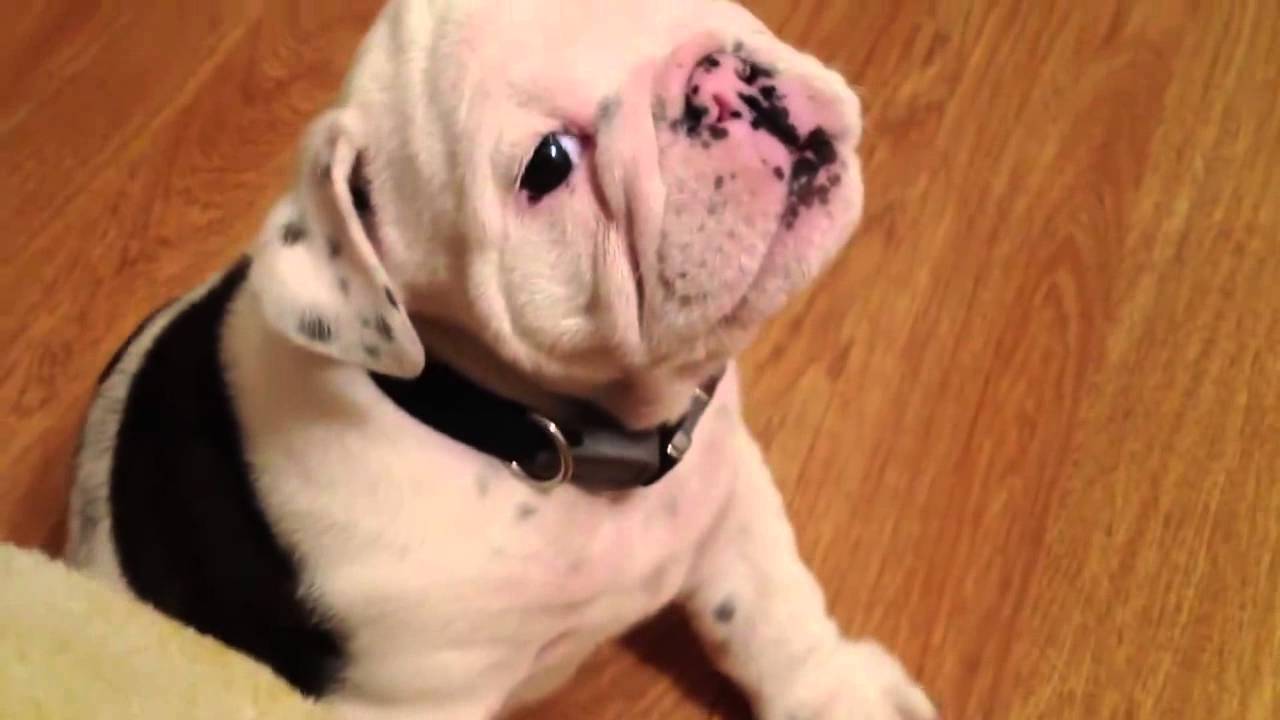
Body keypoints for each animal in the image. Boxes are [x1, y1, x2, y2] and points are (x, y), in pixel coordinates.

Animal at [64, 0, 936, 718]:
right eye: (548, 163)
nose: (717, 83)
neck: (554, 436)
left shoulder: (727, 489)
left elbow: (768, 608)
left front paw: (839, 694)